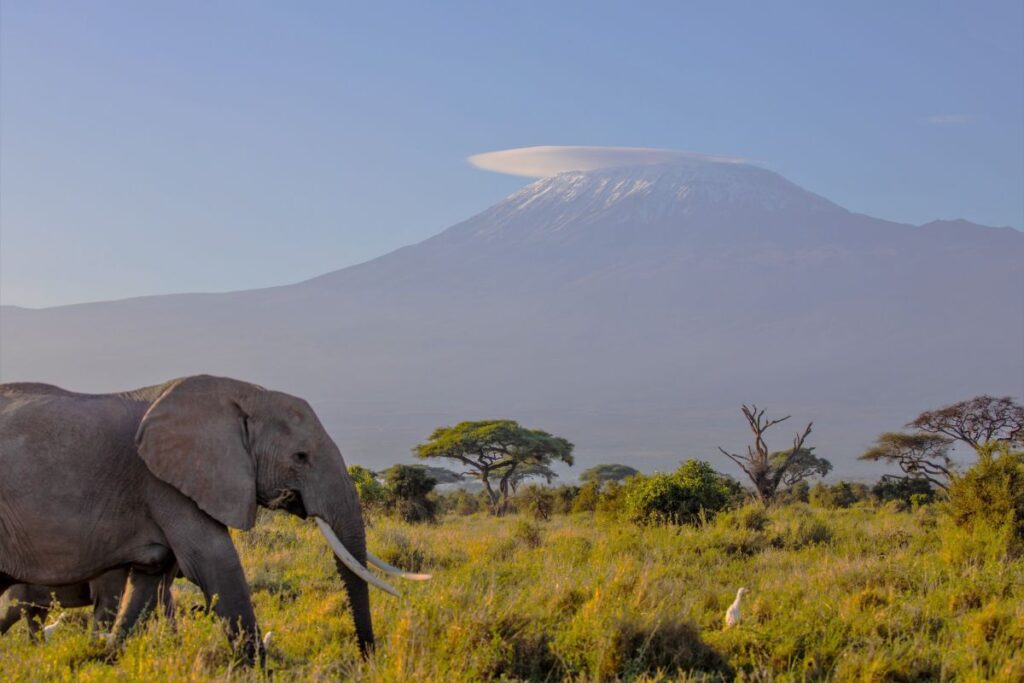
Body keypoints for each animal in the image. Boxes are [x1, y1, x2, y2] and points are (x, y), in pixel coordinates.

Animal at [0, 375, 428, 662]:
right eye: (300, 457)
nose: (367, 658)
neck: (242, 395)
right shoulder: (165, 484)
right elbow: (214, 561)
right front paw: (261, 669)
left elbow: (148, 583)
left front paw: (105, 660)